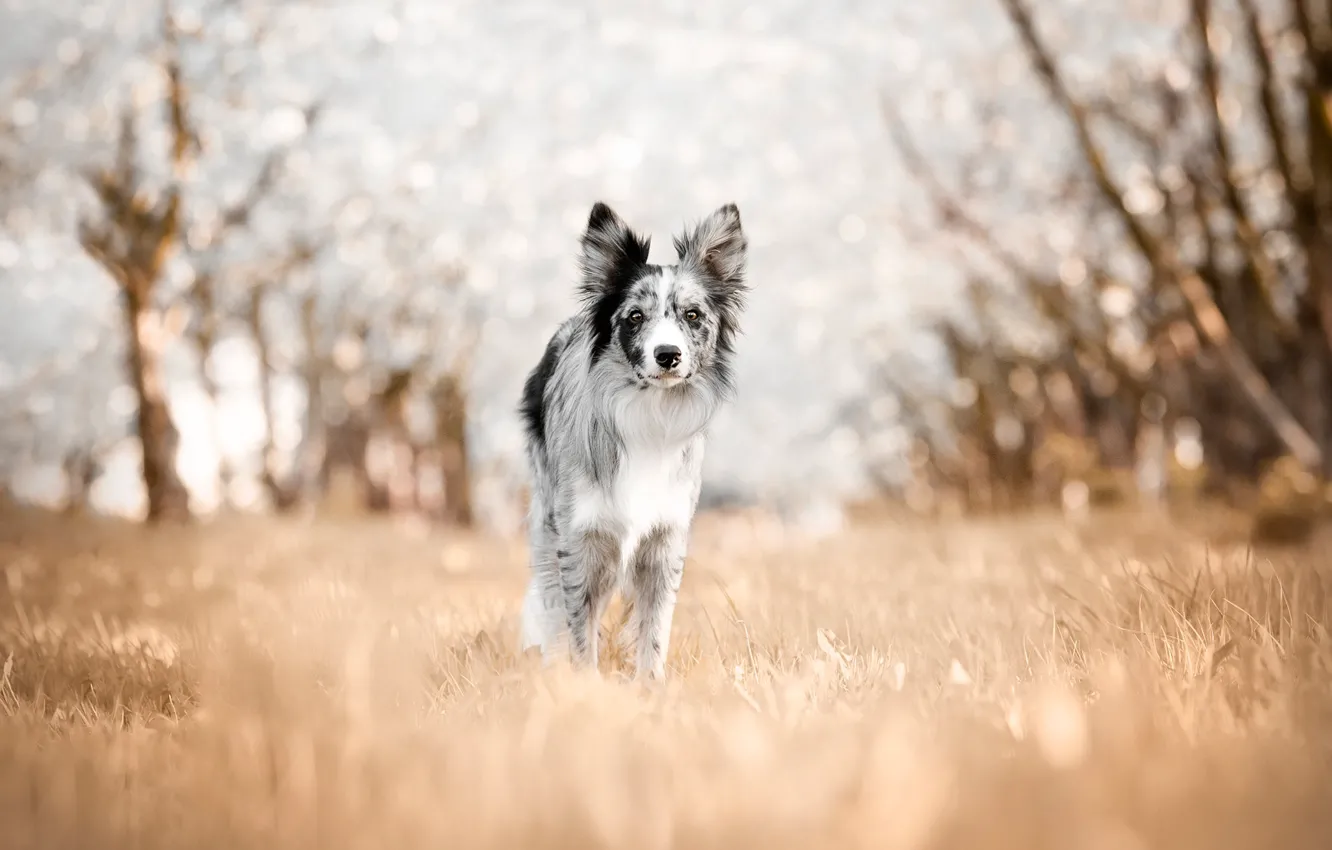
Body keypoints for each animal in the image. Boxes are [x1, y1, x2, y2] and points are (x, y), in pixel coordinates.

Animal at [516, 202, 751, 682]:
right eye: (635, 317)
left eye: (692, 315)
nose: (668, 355)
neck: (649, 413)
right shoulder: (580, 538)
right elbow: (580, 632)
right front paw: (584, 687)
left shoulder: (665, 541)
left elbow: (654, 631)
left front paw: (650, 689)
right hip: (548, 521)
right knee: (552, 606)